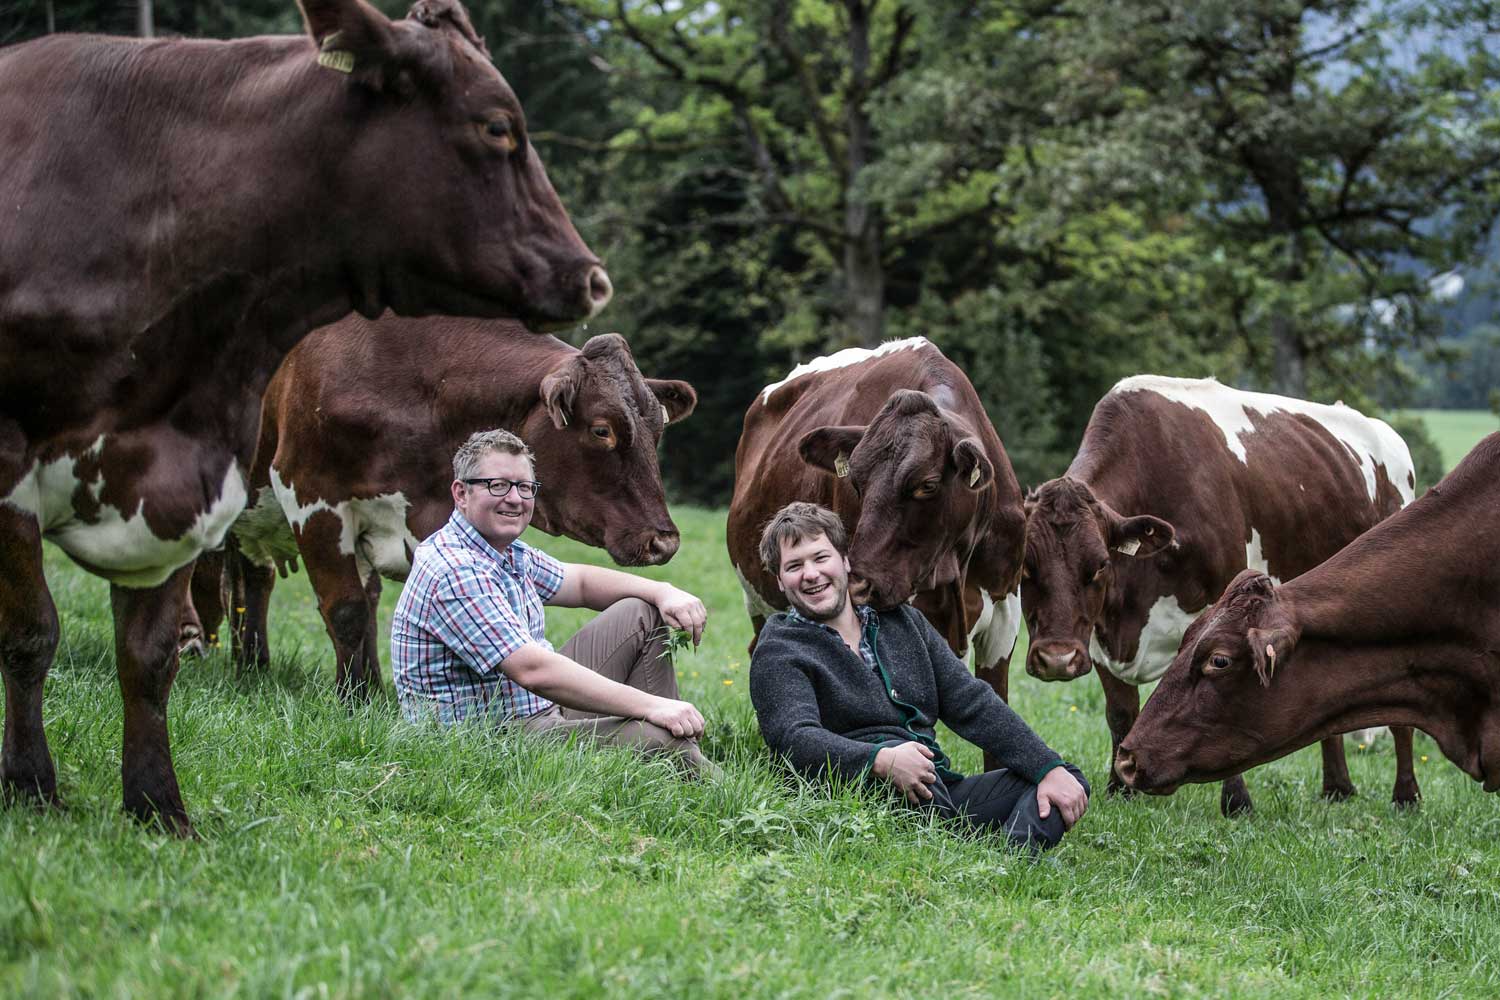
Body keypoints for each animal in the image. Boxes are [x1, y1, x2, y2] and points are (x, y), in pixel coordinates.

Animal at [0, 0, 610, 834]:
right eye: (498, 127)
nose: (593, 278)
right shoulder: (305, 497)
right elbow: (32, 633)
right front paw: (31, 786)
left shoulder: (184, 483)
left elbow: (149, 656)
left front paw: (159, 808)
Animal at [190, 313, 695, 697]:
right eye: (601, 429)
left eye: (659, 430)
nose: (664, 541)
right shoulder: (312, 499)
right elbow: (348, 611)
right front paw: (352, 698)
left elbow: (371, 606)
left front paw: (372, 691)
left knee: (252, 582)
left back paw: (252, 666)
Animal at [726, 337, 1027, 766]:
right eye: (855, 481)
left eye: (927, 485)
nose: (859, 585)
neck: (958, 568)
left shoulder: (1005, 615)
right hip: (756, 599)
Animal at [1020, 375, 1419, 815]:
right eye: (1025, 565)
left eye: (1101, 564)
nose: (1057, 659)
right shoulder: (1098, 633)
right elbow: (1120, 712)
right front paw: (1120, 789)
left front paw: (1237, 801)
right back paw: (1337, 788)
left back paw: (1406, 796)